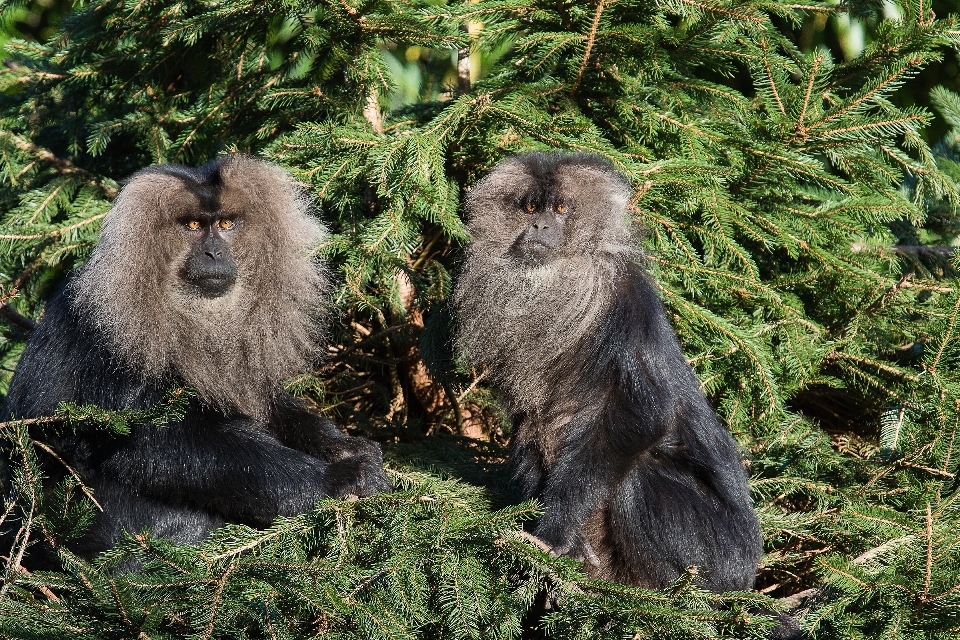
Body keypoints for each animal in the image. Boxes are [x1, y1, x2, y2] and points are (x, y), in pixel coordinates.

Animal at [0, 156, 390, 560]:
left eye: (226, 224)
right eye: (192, 226)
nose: (213, 253)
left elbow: (270, 405)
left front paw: (345, 448)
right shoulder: (116, 335)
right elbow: (151, 444)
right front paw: (338, 478)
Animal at [454, 151, 760, 592]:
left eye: (560, 209)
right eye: (530, 208)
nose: (539, 226)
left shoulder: (625, 308)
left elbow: (643, 414)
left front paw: (557, 529)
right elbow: (530, 422)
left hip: (719, 556)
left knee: (637, 476)